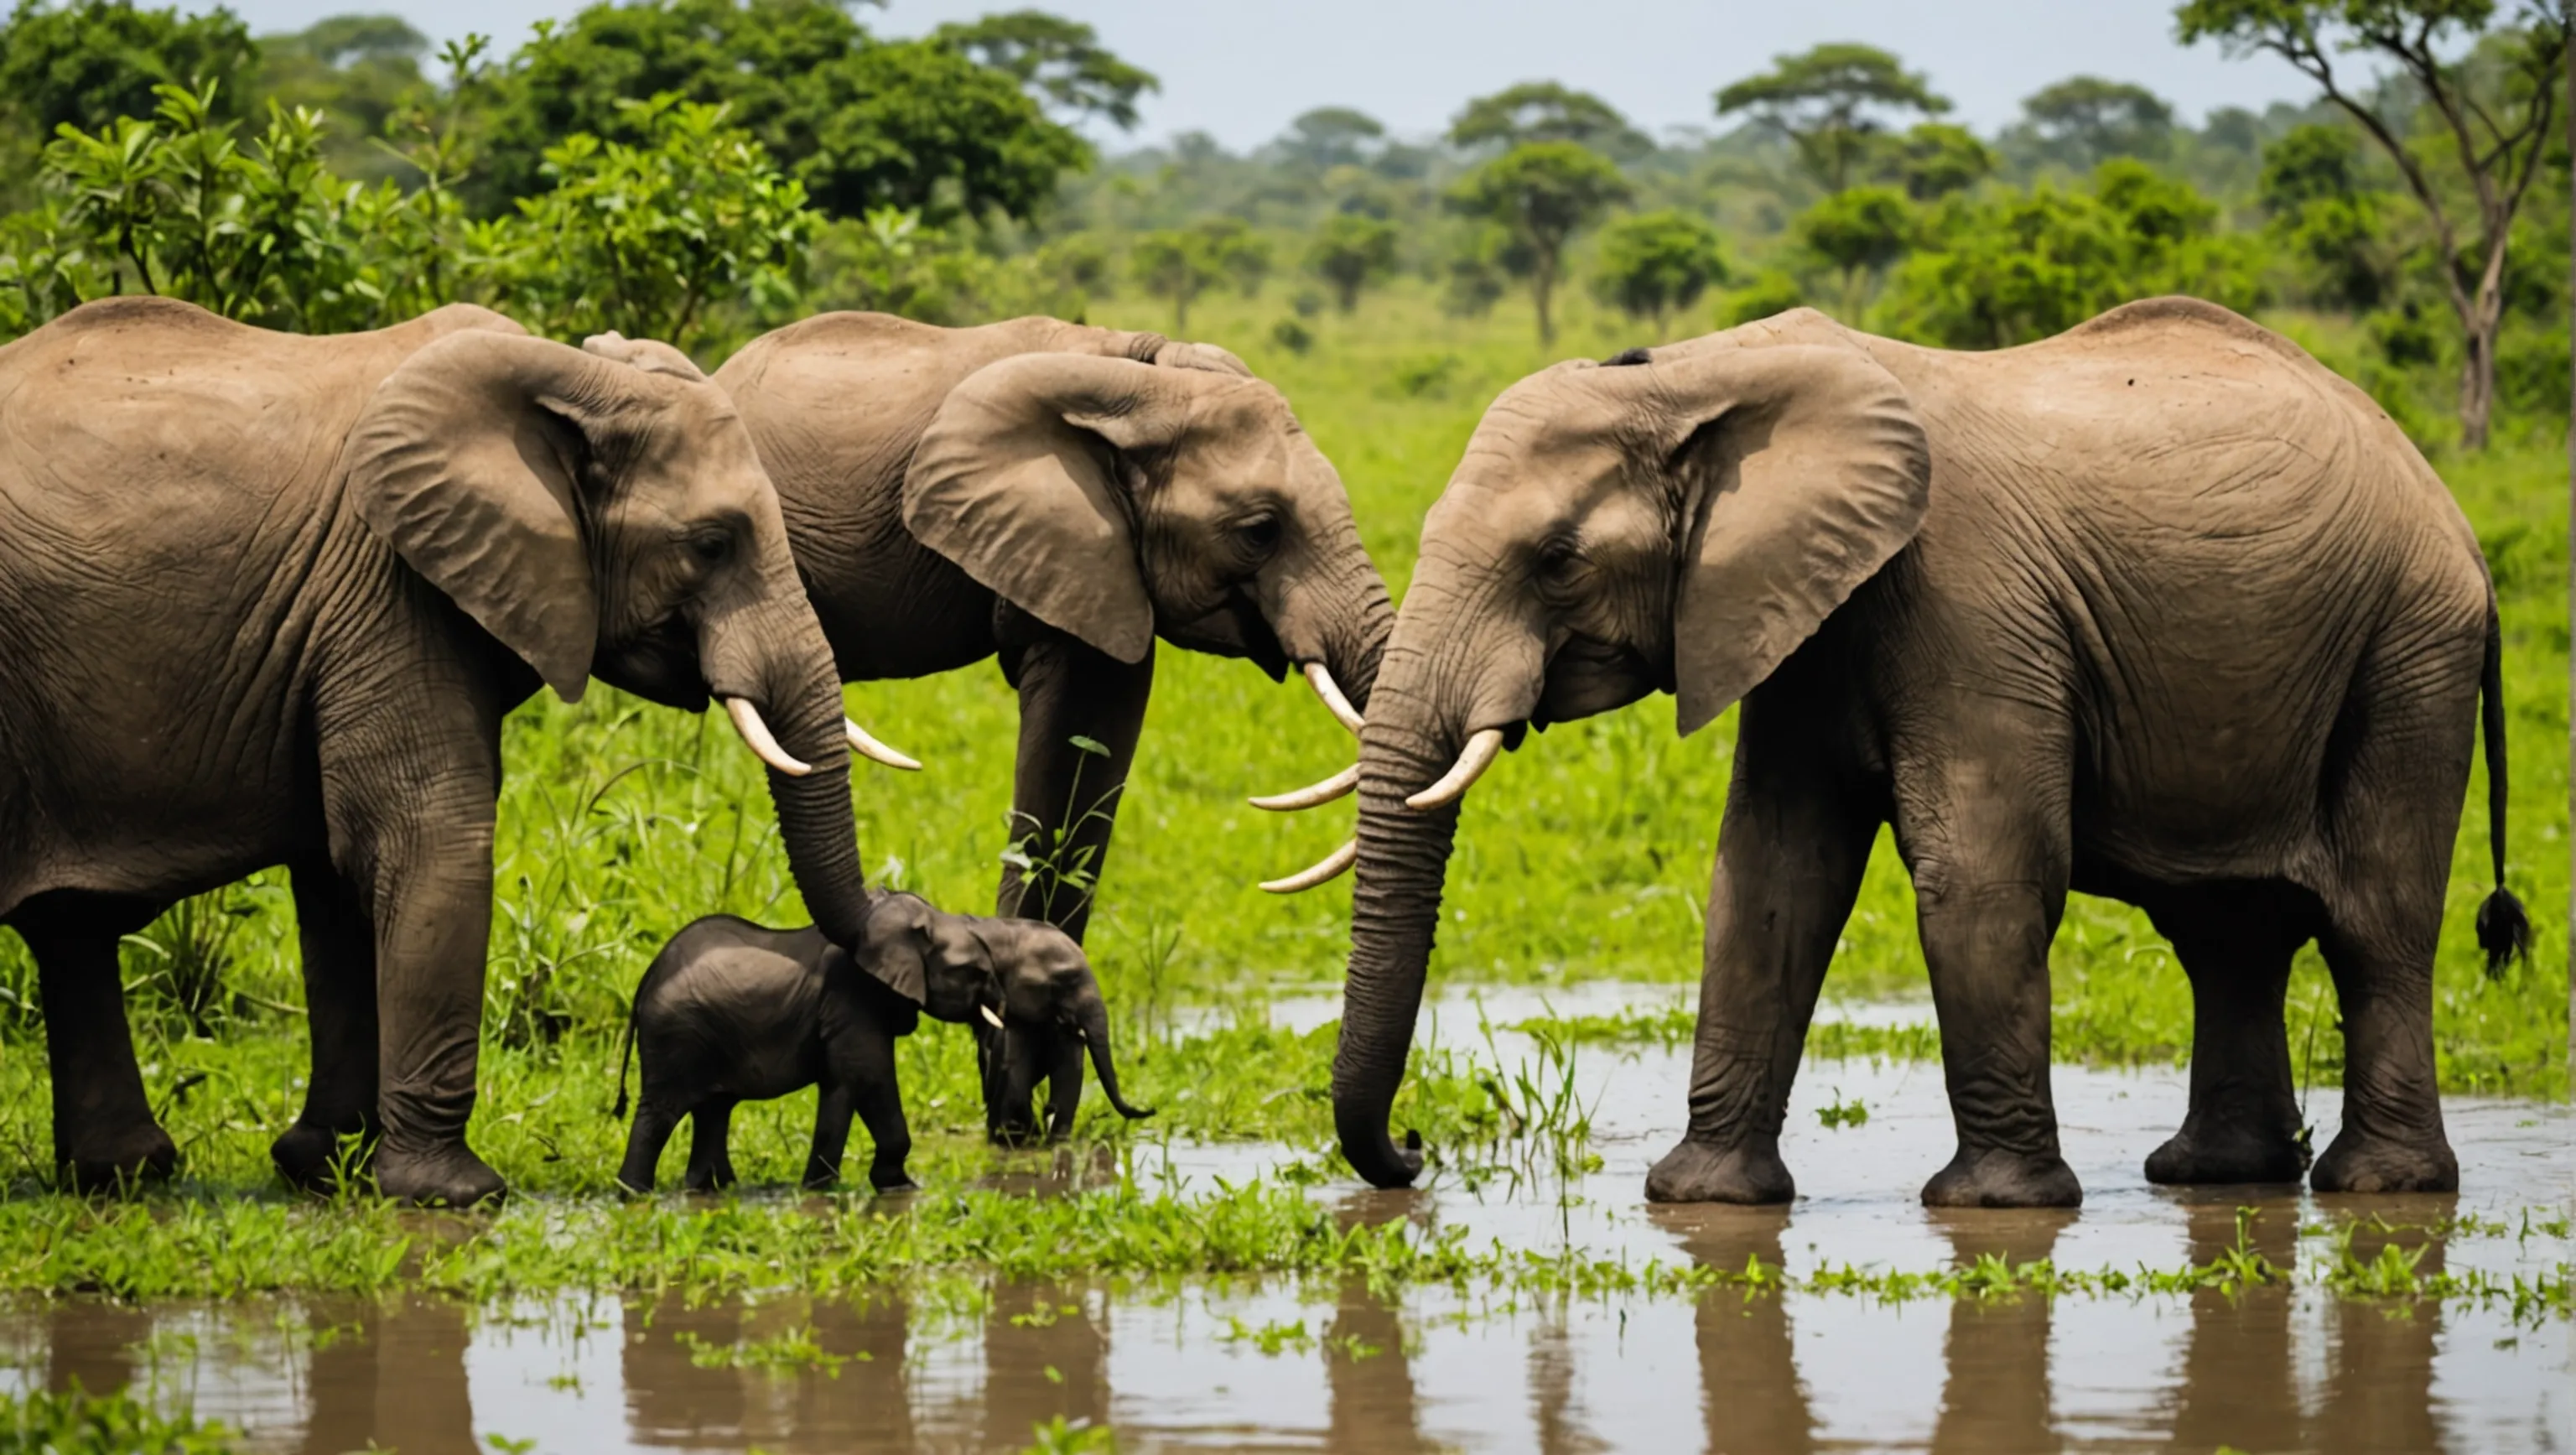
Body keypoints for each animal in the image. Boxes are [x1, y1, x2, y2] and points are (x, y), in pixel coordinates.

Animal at [0, 294, 906, 1205]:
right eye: (713, 543)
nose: (889, 926)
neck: (571, 381)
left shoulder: (342, 620)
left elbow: (334, 873)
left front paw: (326, 1168)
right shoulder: (387, 588)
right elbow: (430, 837)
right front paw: (452, 1192)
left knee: (70, 927)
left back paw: (123, 1176)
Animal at [613, 896, 1149, 1189]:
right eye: (1064, 980)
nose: (1055, 1145)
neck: (972, 922)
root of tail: (642, 984)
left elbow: (840, 1088)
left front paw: (824, 1188)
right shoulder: (854, 998)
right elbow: (867, 1075)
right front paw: (901, 1186)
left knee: (713, 1112)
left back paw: (707, 1190)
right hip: (677, 1037)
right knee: (660, 1114)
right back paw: (635, 1194)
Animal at [1282, 294, 2514, 1205]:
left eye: (1556, 559)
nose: (1415, 1151)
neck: (1697, 375)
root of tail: (2453, 511)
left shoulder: (1974, 602)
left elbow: (1980, 872)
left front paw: (1993, 1209)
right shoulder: (1790, 610)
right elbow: (1772, 873)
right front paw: (1703, 1198)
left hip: (2411, 650)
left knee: (2374, 916)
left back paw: (2381, 1188)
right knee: (2226, 932)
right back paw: (2215, 1178)